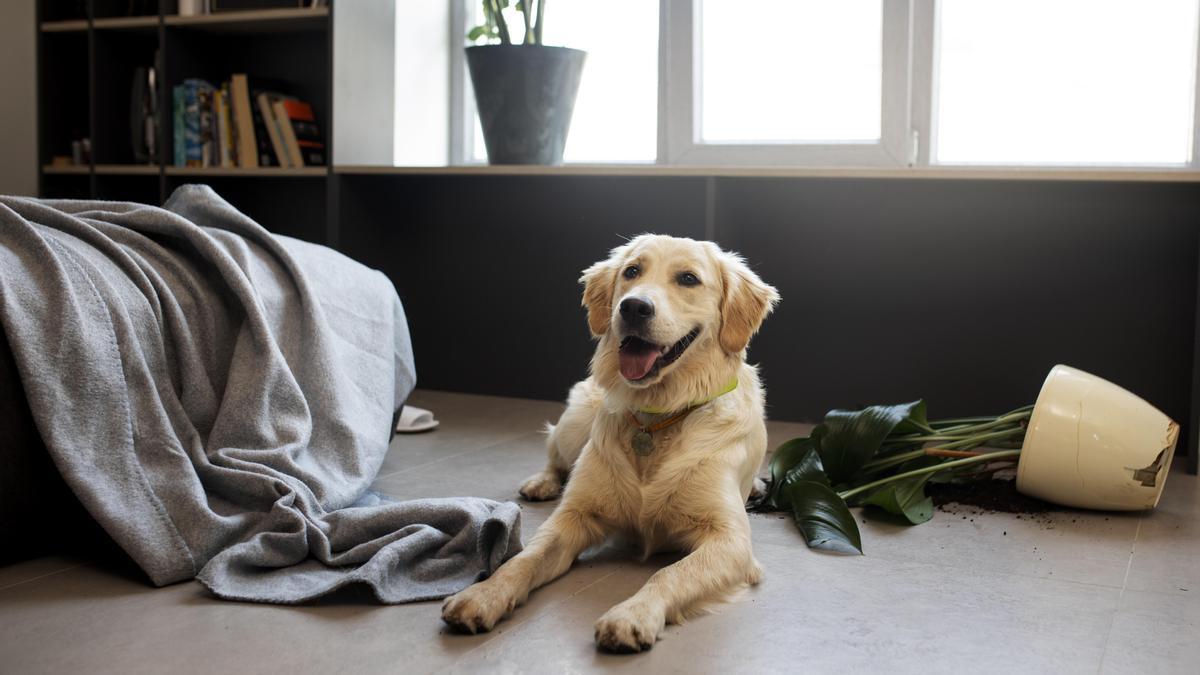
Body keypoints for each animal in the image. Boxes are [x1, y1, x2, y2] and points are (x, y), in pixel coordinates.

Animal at [441, 234, 777, 648]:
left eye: (688, 279)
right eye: (632, 271)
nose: (633, 306)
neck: (658, 416)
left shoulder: (730, 541)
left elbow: (668, 573)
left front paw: (632, 615)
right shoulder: (574, 517)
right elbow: (524, 558)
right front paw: (483, 595)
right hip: (574, 422)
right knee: (554, 455)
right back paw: (542, 482)